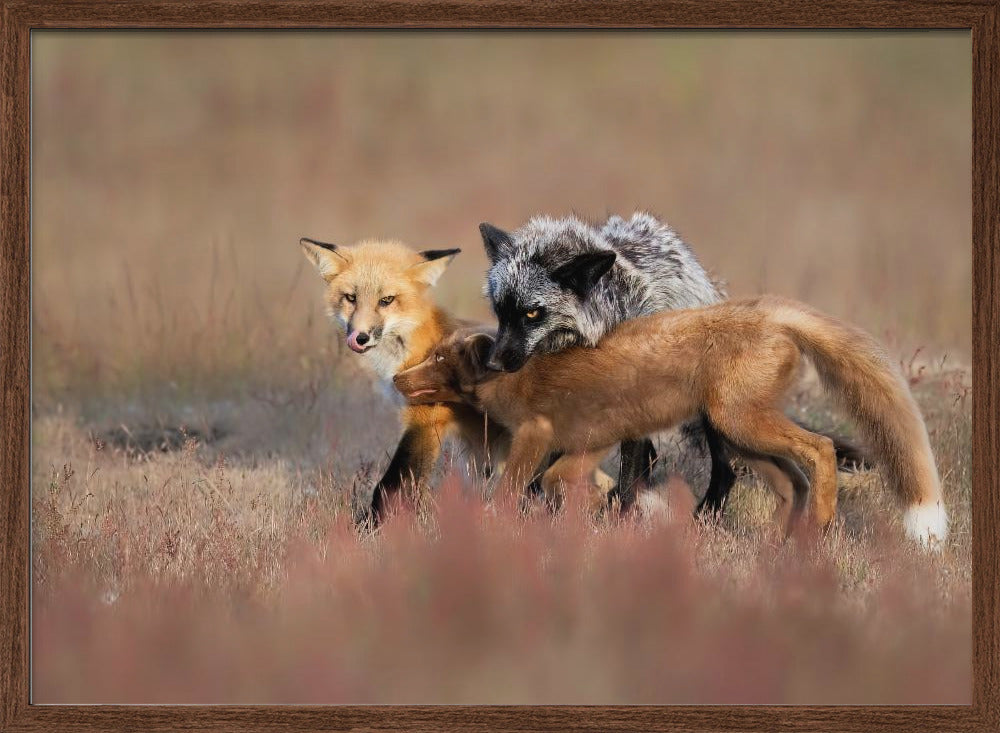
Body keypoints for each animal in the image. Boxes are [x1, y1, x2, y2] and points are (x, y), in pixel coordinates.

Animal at [393, 296, 949, 548]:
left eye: (439, 360)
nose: (398, 378)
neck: (513, 376)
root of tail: (770, 311)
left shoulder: (539, 434)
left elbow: (514, 487)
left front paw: (501, 527)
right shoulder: (590, 442)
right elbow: (562, 482)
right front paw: (595, 514)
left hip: (741, 424)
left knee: (821, 450)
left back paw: (821, 526)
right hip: (739, 437)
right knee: (793, 481)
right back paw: (777, 544)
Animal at [478, 212, 866, 513]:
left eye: (532, 313)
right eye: (500, 311)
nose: (493, 364)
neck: (607, 322)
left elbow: (628, 475)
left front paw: (616, 522)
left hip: (718, 414)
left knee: (724, 470)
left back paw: (704, 517)